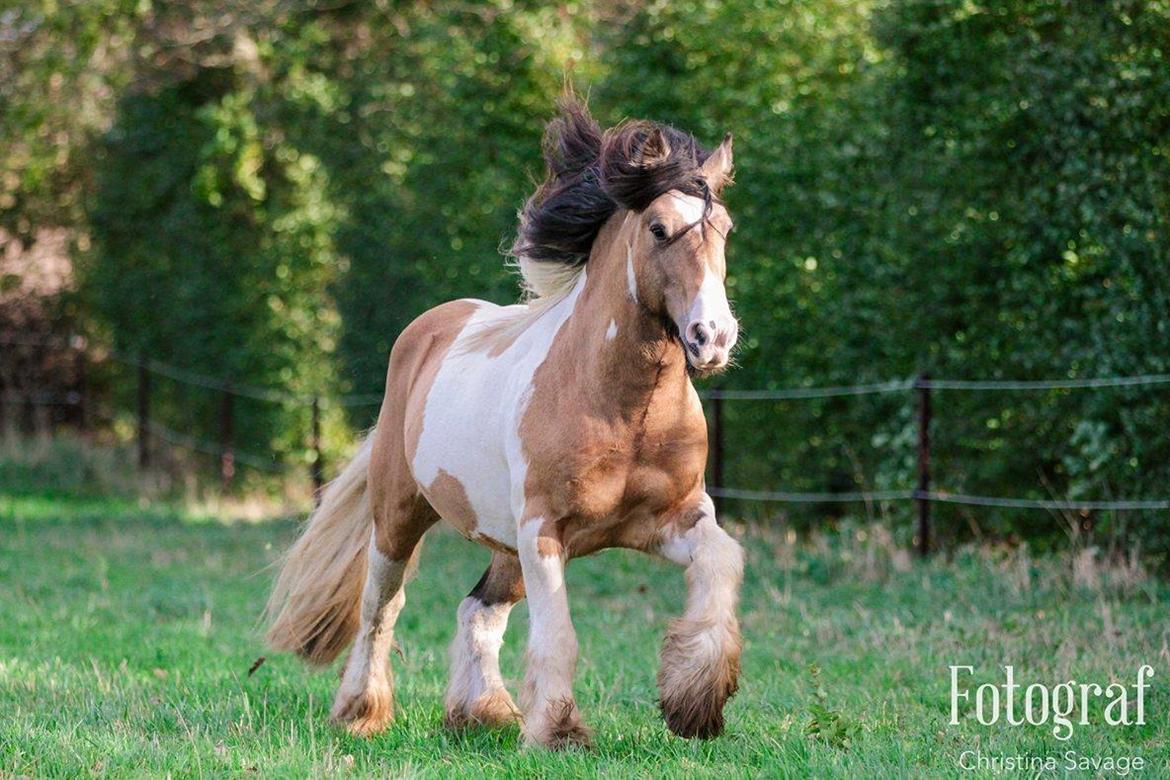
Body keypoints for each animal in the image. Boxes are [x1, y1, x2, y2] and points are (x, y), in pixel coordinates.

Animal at [264, 97, 739, 748]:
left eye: (725, 230)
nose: (712, 337)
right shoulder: (544, 531)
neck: (626, 413)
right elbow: (558, 635)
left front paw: (695, 703)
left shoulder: (673, 521)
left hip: (503, 543)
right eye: (659, 229)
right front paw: (558, 732)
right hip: (399, 515)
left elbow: (722, 564)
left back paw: (482, 711)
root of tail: (428, 329)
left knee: (478, 610)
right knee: (380, 607)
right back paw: (361, 712)